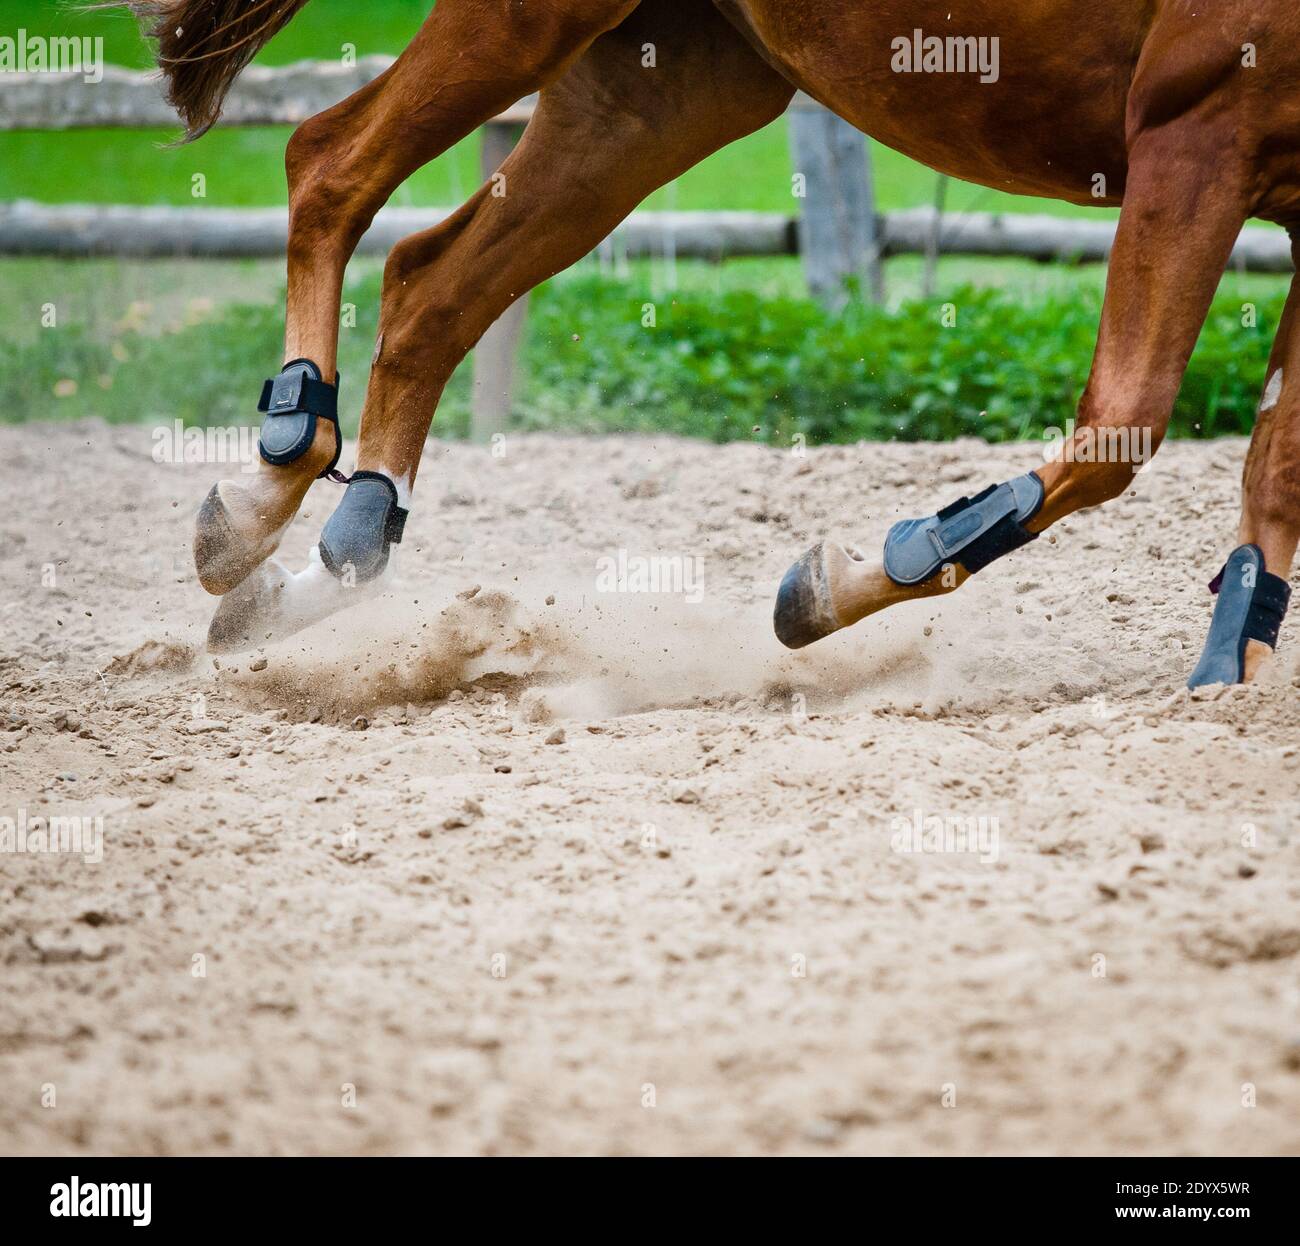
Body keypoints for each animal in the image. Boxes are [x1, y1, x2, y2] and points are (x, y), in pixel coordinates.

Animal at [116, 0, 1294, 686]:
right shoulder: (1199, 123)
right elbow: (1123, 423)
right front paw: (846, 579)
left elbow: (1270, 468)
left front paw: (1231, 663)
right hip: (538, 22)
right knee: (329, 163)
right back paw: (268, 483)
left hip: (657, 88)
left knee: (429, 284)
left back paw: (325, 568)